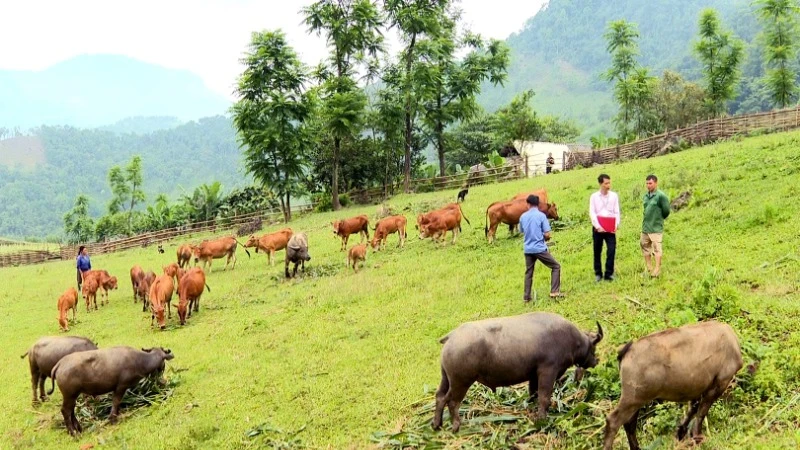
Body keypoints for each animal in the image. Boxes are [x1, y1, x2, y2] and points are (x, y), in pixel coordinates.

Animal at [434, 312, 604, 432]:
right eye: (593, 347)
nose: (596, 361)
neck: (569, 339)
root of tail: (452, 336)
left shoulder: (534, 375)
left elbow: (533, 393)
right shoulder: (548, 371)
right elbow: (544, 398)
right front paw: (541, 420)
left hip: (445, 378)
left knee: (440, 397)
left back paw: (436, 424)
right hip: (461, 382)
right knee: (452, 402)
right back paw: (456, 425)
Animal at [600, 322, 744, 448]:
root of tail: (627, 350)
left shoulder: (698, 389)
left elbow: (692, 410)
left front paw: (681, 434)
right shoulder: (719, 384)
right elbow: (701, 414)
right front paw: (697, 438)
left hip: (636, 400)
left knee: (629, 423)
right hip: (633, 398)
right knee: (614, 421)